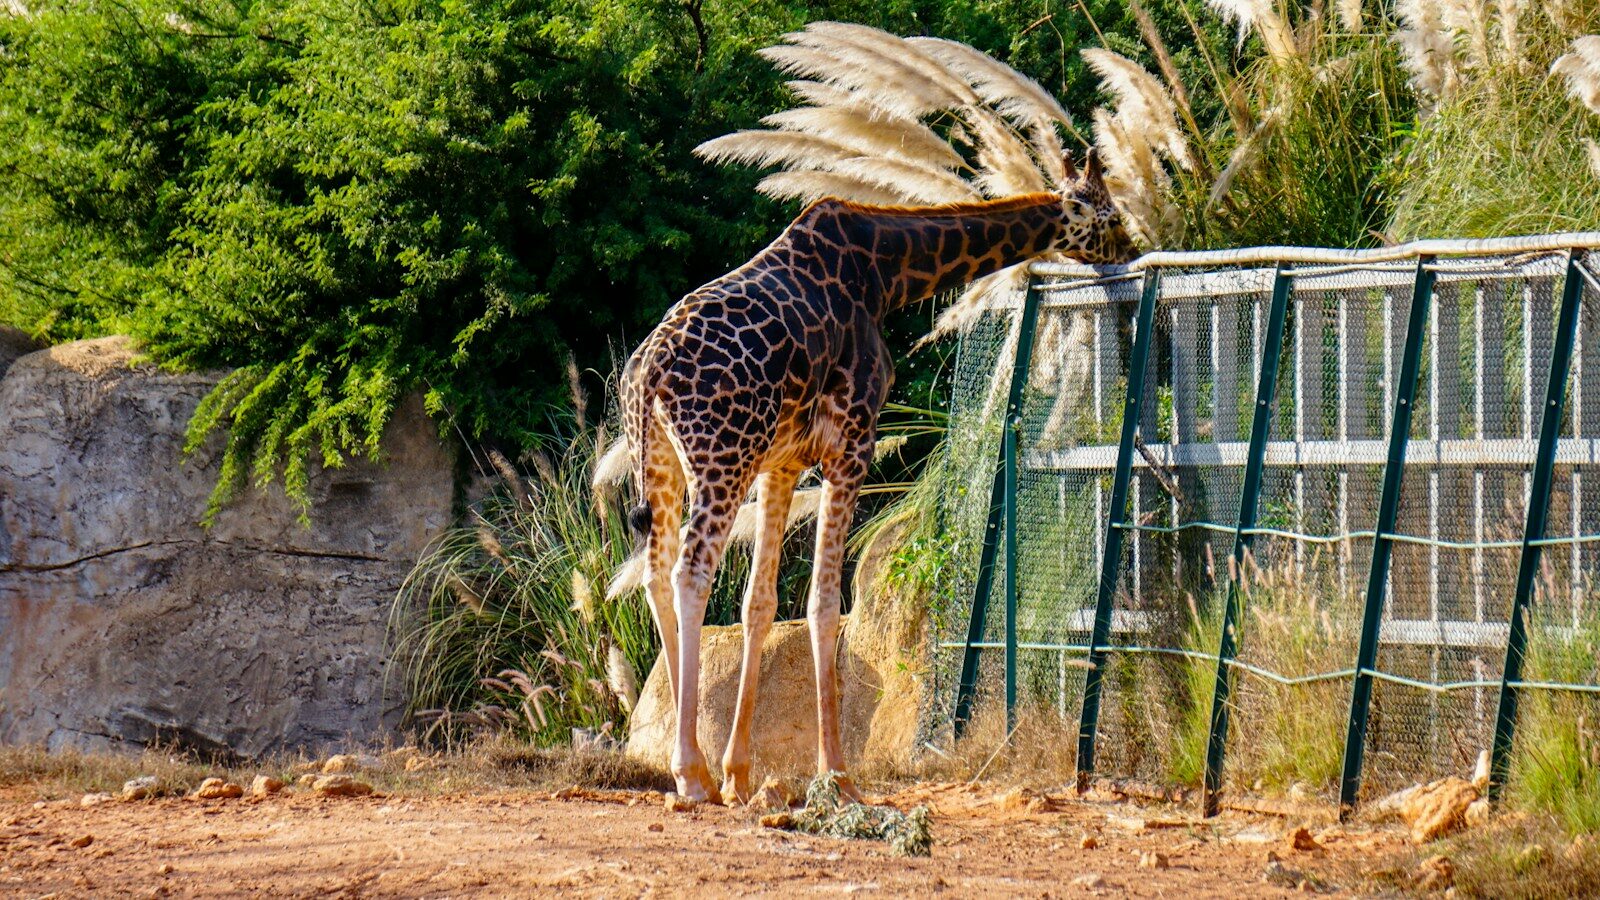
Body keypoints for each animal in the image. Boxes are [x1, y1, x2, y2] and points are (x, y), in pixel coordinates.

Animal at [614, 150, 1135, 804]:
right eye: (1108, 212)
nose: (1130, 248)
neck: (887, 273)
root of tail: (649, 372)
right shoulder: (851, 443)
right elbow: (823, 604)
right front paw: (836, 773)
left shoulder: (783, 462)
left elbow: (760, 603)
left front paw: (741, 772)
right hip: (721, 458)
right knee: (690, 573)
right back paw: (688, 772)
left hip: (663, 464)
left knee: (655, 574)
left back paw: (703, 769)